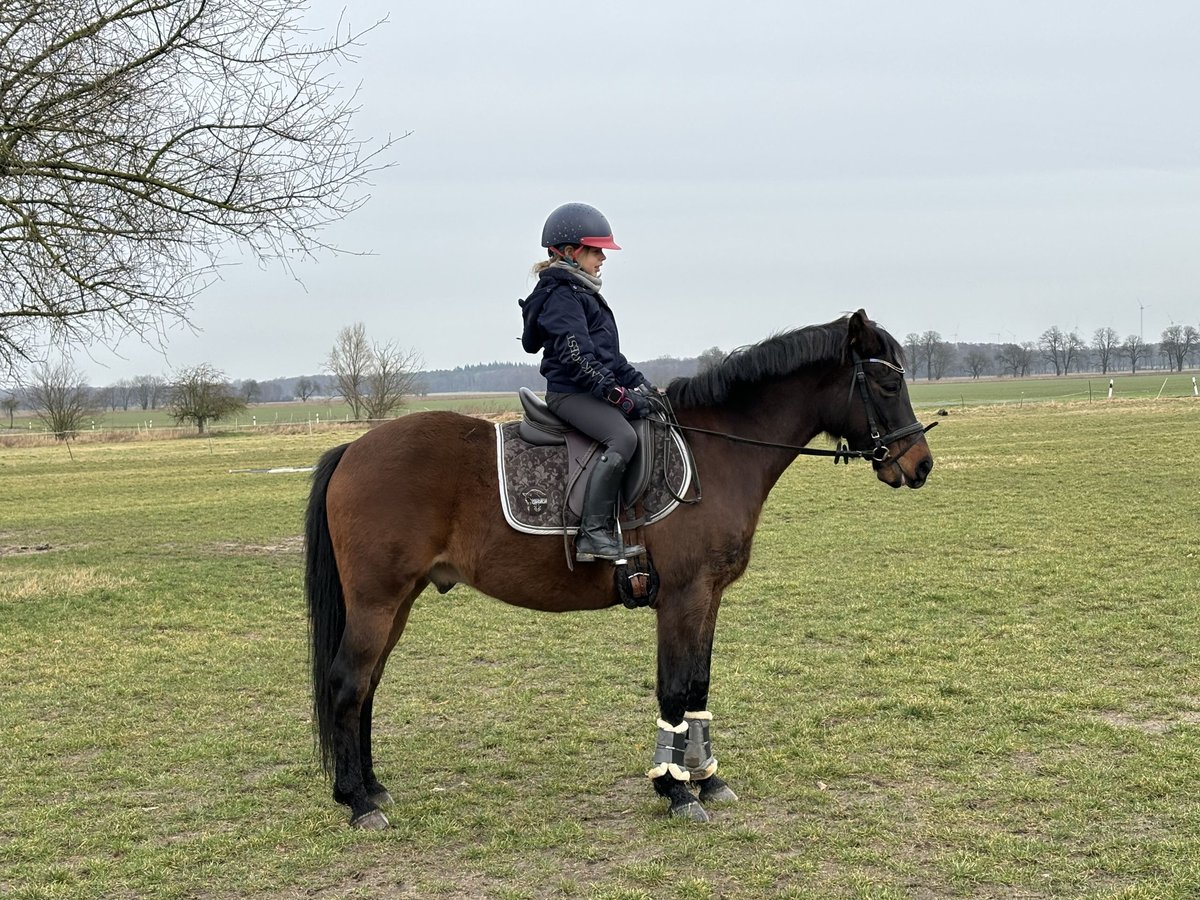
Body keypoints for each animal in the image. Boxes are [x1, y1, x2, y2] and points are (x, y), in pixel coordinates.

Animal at [304, 309, 931, 830]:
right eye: (887, 383)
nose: (920, 465)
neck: (717, 453)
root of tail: (354, 449)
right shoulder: (683, 596)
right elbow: (673, 688)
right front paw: (675, 791)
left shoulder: (709, 596)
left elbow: (698, 683)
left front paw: (705, 778)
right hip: (377, 601)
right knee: (348, 684)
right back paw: (357, 802)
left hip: (398, 600)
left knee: (367, 686)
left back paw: (372, 788)